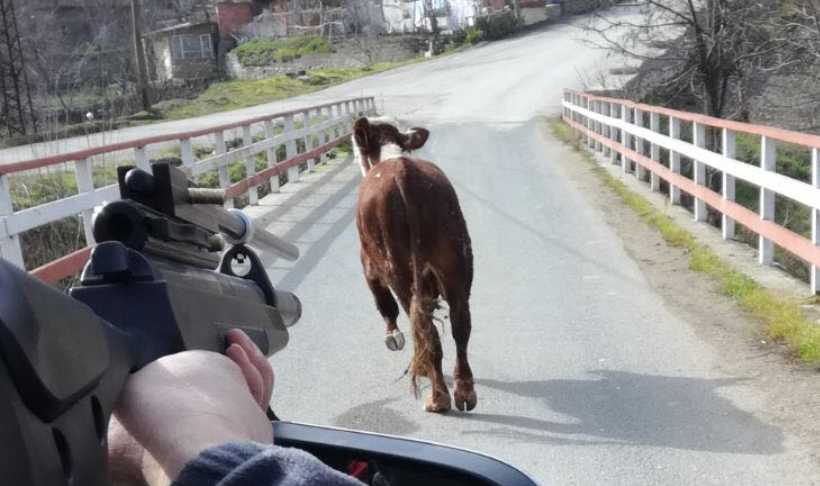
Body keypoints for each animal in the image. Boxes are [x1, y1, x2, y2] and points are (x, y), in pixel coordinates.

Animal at [350, 117, 478, 414]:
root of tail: (404, 173)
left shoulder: (368, 264)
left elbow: (384, 303)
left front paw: (393, 337)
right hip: (457, 264)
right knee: (460, 325)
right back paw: (464, 392)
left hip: (399, 269)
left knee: (425, 330)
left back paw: (438, 398)